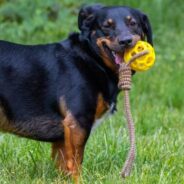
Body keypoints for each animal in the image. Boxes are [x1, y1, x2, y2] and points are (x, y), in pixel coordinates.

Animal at [0, 4, 152, 181]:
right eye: (106, 26)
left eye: (133, 23)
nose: (126, 41)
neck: (91, 59)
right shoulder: (77, 123)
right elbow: (75, 163)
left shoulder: (63, 136)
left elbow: (63, 167)